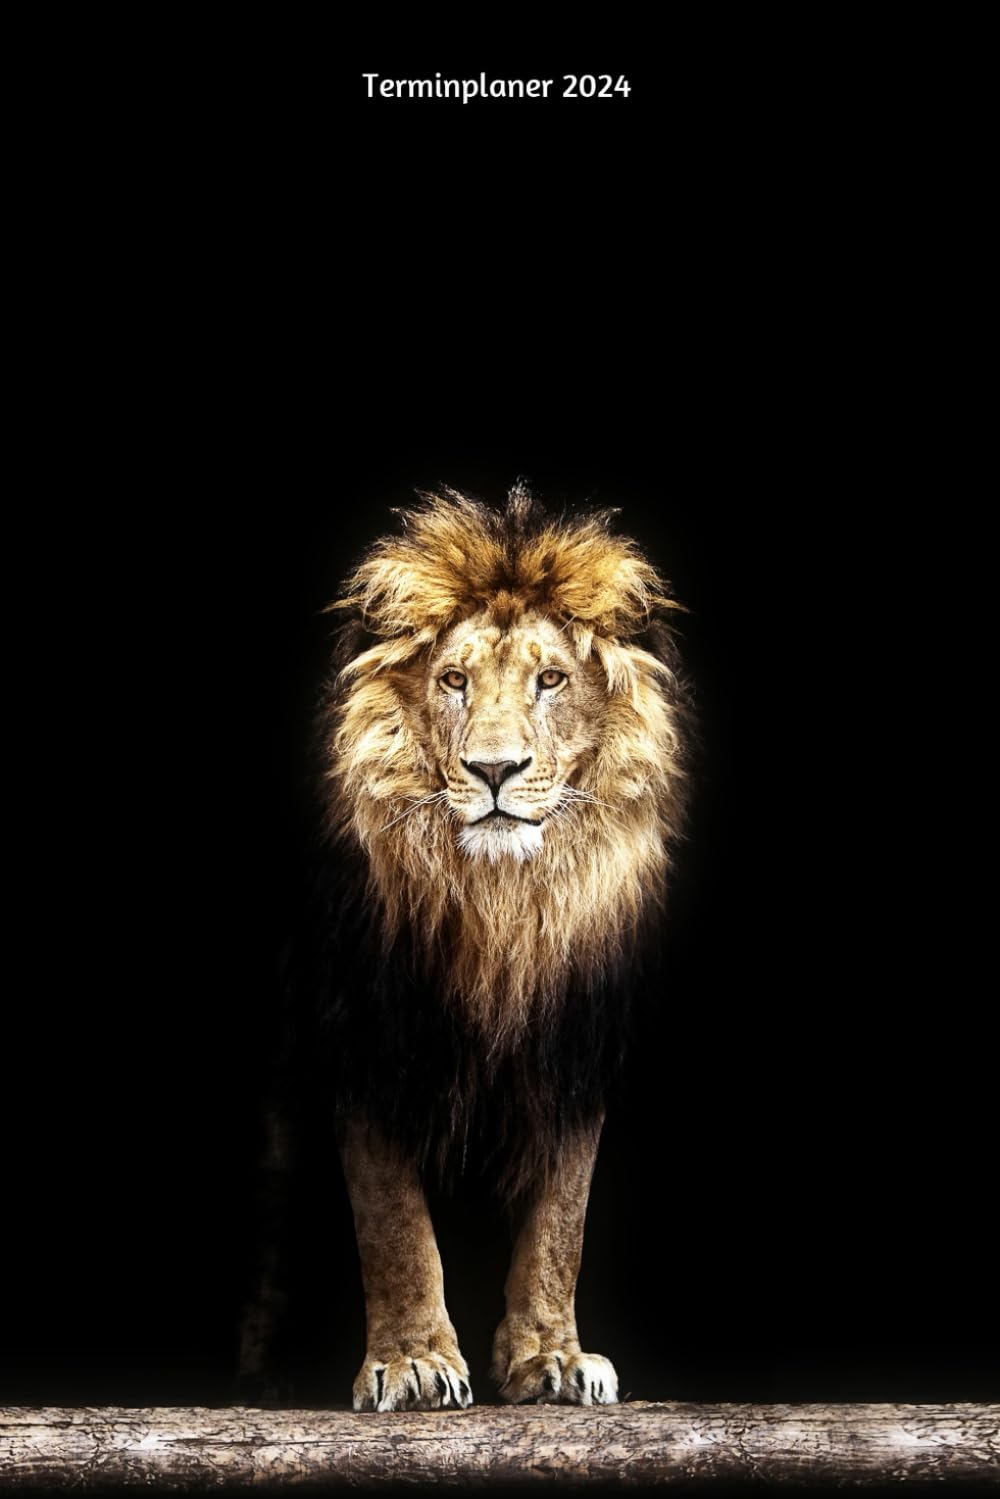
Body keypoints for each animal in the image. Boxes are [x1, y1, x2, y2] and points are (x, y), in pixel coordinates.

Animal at [238, 482, 688, 1411]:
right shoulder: (365, 1033)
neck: (500, 906)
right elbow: (393, 1222)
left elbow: (561, 1219)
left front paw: (552, 1357)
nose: (494, 770)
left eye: (550, 678)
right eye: (454, 680)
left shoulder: (573, 1046)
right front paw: (412, 1361)